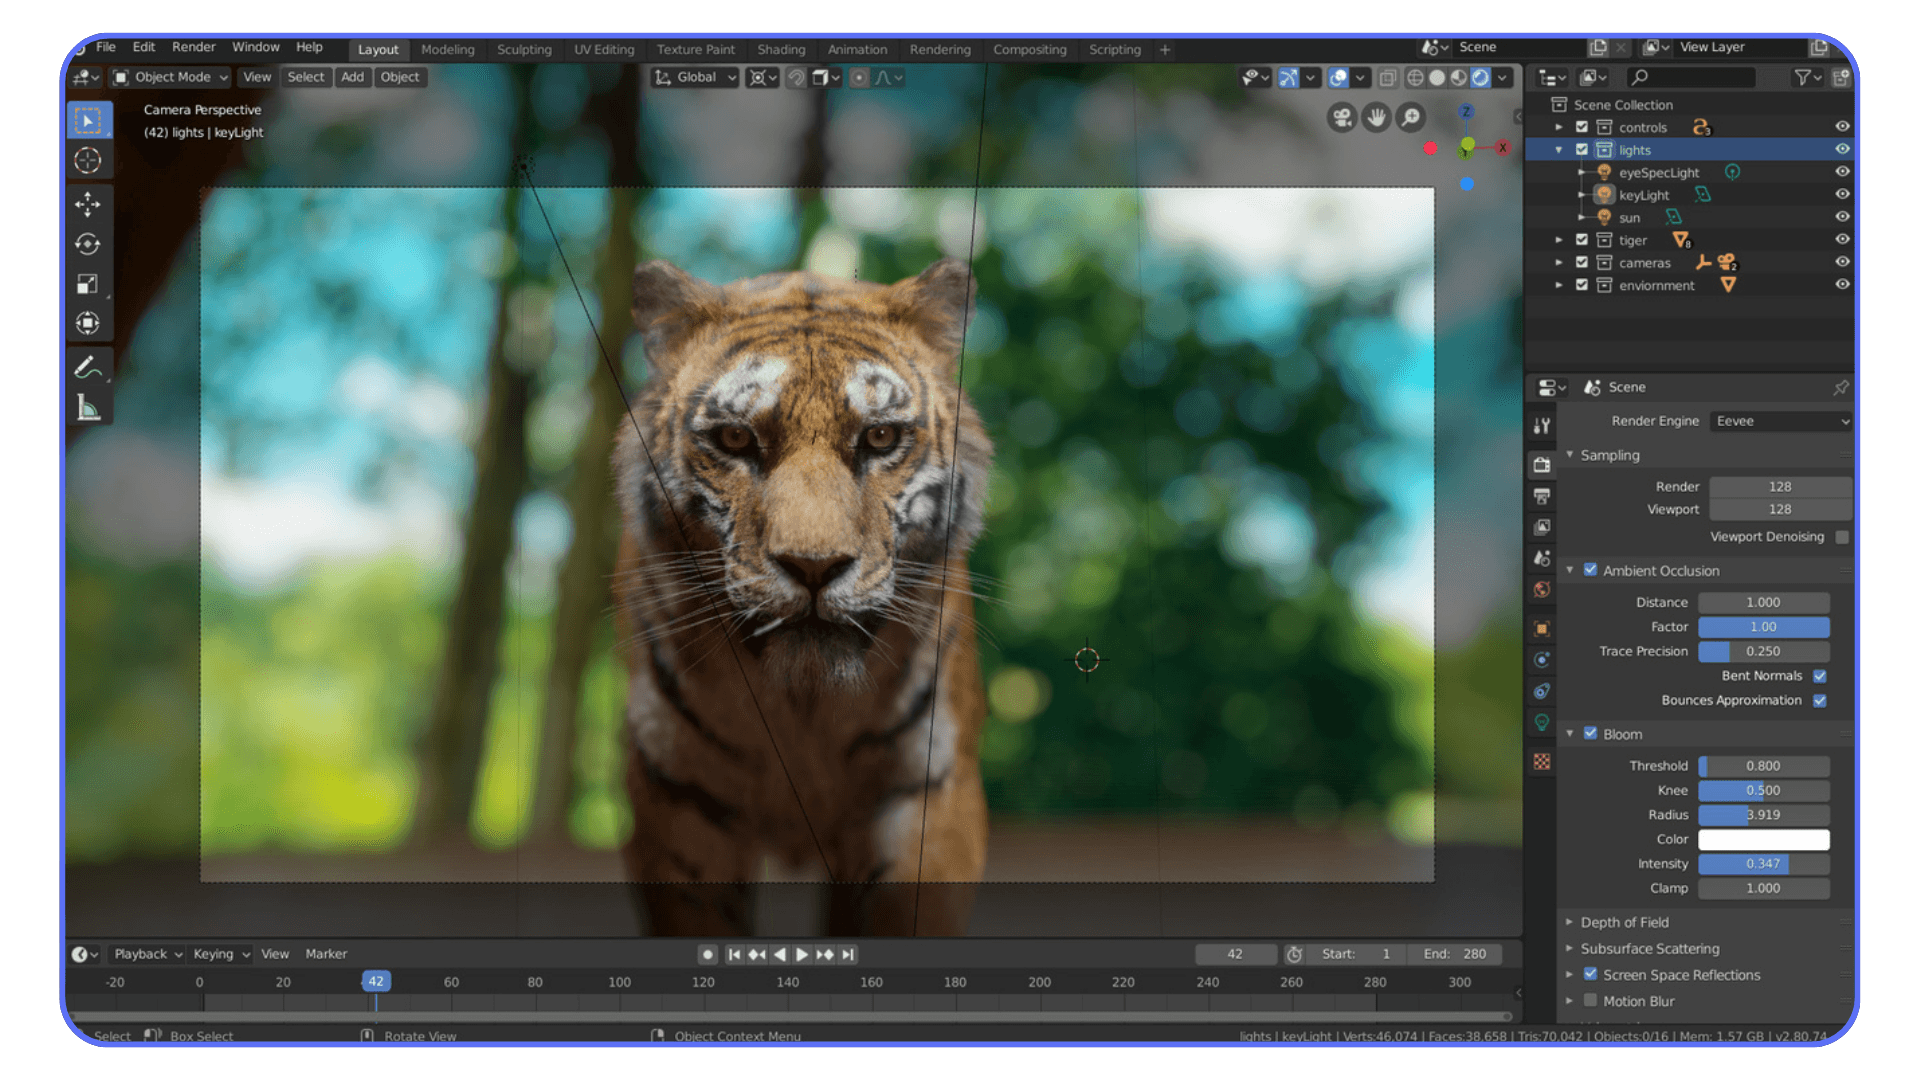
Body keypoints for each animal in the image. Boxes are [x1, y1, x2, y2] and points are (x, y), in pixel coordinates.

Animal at [610, 256, 994, 937]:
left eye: (880, 437)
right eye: (736, 440)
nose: (814, 567)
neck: (802, 708)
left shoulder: (925, 801)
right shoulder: (679, 808)